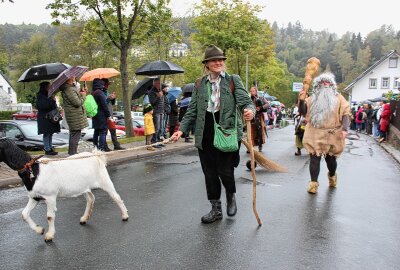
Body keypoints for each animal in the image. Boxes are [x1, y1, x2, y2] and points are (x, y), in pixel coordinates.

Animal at [0, 138, 128, 242]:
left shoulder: (50, 196)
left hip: (104, 181)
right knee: (91, 198)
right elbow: (24, 214)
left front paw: (49, 236)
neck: (34, 170)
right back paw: (84, 218)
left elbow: (49, 216)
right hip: (83, 187)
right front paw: (40, 230)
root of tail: (97, 156)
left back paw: (125, 216)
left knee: (116, 197)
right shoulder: (34, 197)